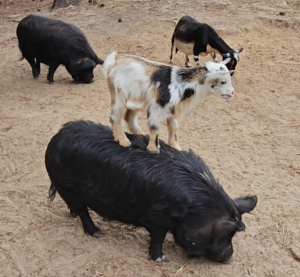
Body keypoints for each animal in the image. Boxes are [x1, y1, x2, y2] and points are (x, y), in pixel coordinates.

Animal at [45, 119, 258, 262]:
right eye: (225, 234)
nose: (230, 257)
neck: (194, 210)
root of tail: (55, 139)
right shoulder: (156, 218)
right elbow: (158, 239)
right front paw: (161, 260)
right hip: (69, 186)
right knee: (83, 211)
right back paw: (97, 233)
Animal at [103, 51, 234, 153]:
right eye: (223, 81)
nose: (232, 93)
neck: (182, 83)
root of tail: (114, 61)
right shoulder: (156, 110)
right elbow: (156, 129)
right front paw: (154, 150)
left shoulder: (173, 111)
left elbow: (174, 127)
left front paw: (176, 147)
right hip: (118, 97)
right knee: (114, 118)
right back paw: (124, 141)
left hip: (136, 98)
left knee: (128, 116)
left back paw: (138, 134)